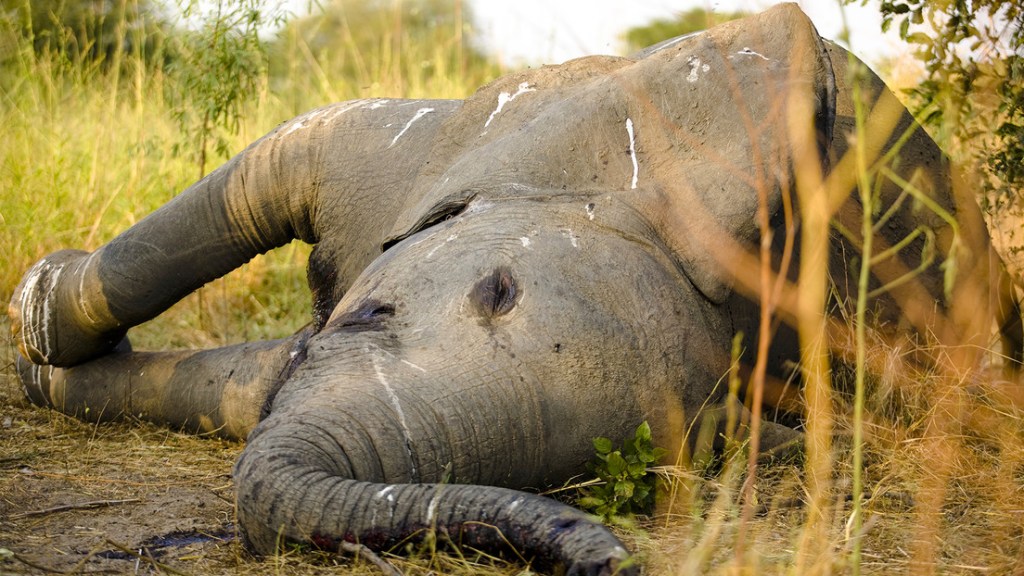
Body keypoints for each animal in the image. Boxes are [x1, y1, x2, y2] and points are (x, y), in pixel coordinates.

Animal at [9, 4, 1021, 574]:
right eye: (496, 289)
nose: (610, 561)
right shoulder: (442, 140)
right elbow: (267, 173)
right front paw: (36, 321)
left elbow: (250, 387)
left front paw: (44, 374)